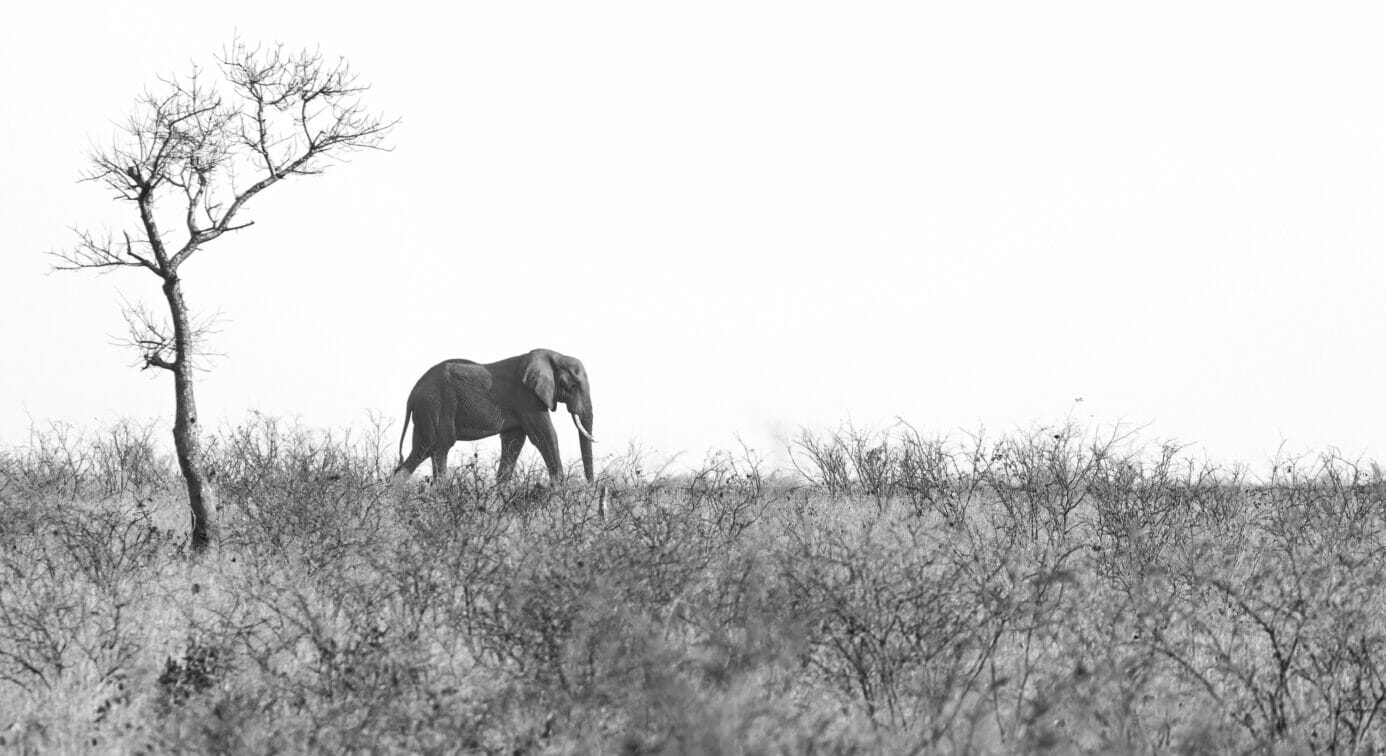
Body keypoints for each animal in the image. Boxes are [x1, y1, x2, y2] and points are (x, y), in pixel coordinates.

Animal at [394, 348, 596, 483]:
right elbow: (544, 435)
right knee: (440, 448)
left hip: (425, 411)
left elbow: (514, 441)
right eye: (574, 385)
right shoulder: (527, 397)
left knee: (421, 450)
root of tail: (412, 394)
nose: (590, 486)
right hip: (437, 405)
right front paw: (559, 488)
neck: (555, 355)